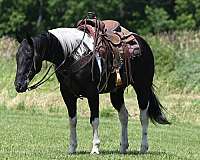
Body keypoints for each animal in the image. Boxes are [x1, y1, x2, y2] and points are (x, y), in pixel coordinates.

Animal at [14, 25, 170, 154]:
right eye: (17, 57)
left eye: (29, 57)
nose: (18, 85)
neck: (75, 55)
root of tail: (143, 43)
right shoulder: (67, 94)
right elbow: (72, 120)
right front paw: (72, 148)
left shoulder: (93, 94)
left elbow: (94, 120)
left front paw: (95, 148)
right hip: (117, 92)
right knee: (124, 116)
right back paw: (123, 147)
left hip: (142, 87)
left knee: (143, 117)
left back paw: (143, 147)